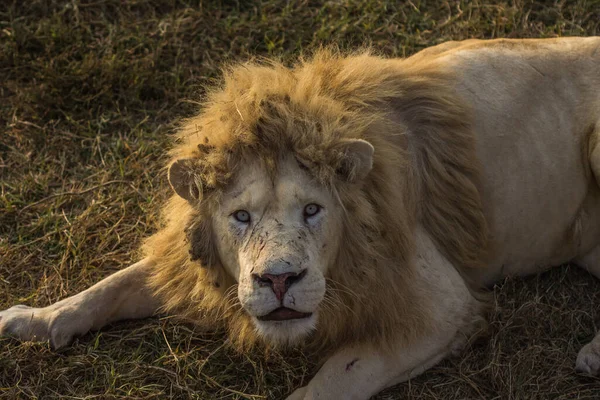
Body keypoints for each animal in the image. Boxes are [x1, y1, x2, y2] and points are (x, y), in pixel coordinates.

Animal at [1, 36, 600, 396]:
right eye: (240, 217)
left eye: (313, 210)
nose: (279, 280)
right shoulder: (196, 266)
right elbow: (109, 288)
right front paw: (31, 319)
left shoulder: (444, 307)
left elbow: (332, 382)